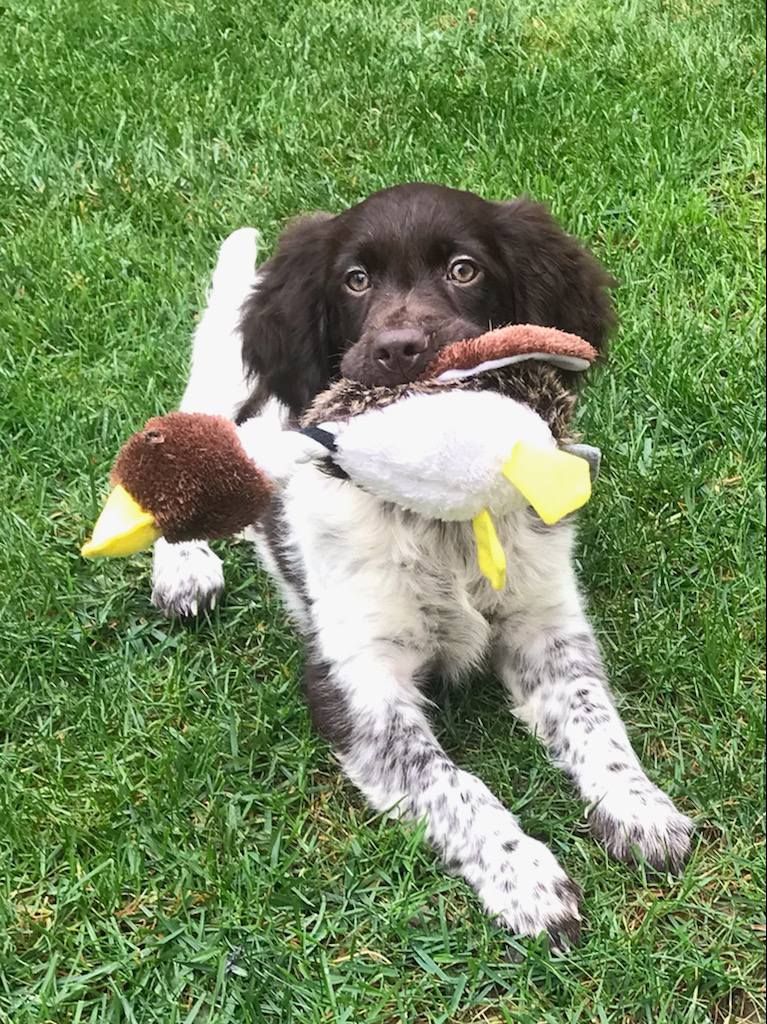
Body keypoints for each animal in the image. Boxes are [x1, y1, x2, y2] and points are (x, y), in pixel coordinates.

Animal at [149, 186, 692, 950]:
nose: (401, 350)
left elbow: (595, 720)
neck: (444, 526)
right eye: (354, 279)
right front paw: (524, 879)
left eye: (464, 269)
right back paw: (184, 566)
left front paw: (640, 807)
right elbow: (452, 785)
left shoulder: (547, 628)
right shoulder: (356, 683)